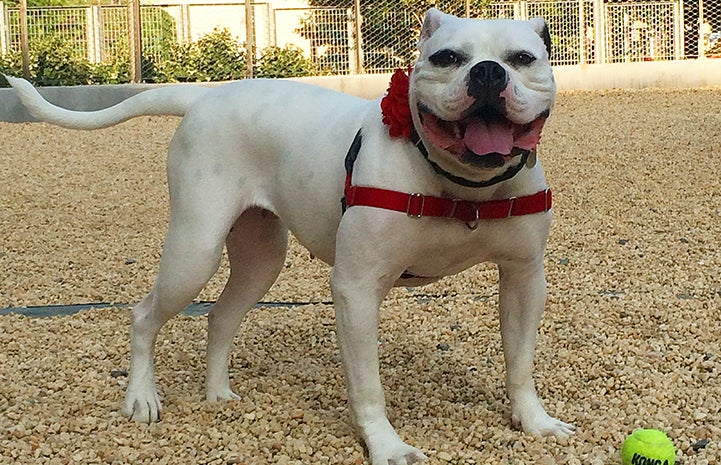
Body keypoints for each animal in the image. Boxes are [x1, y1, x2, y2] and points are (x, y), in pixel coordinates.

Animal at [8, 9, 572, 462]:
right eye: (448, 58)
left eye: (523, 58)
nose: (488, 72)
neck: (461, 185)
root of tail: (207, 97)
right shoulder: (356, 289)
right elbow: (368, 385)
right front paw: (385, 446)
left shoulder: (524, 280)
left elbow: (521, 362)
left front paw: (534, 421)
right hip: (194, 250)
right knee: (144, 315)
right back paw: (141, 398)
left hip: (261, 259)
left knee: (220, 316)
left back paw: (217, 394)